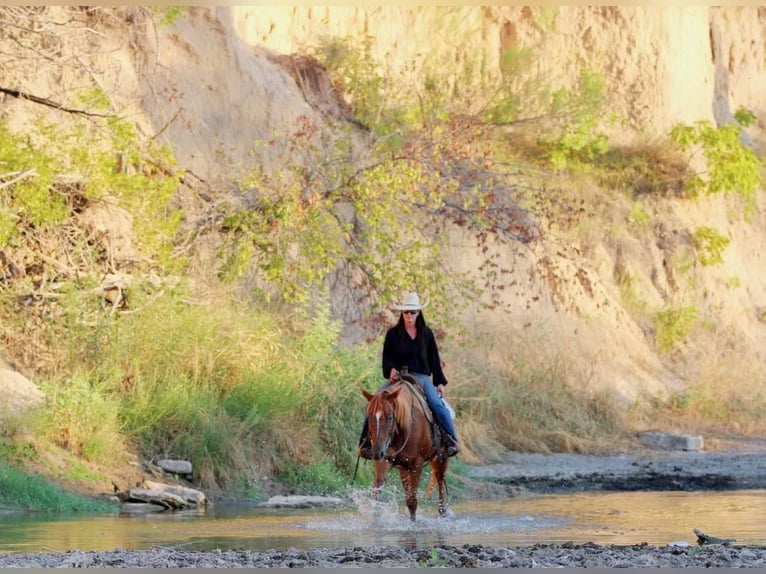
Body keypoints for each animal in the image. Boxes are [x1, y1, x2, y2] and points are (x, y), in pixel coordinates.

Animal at [360, 376, 450, 524]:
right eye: (369, 416)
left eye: (390, 417)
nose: (377, 452)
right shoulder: (384, 459)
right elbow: (377, 492)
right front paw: (375, 520)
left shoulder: (416, 464)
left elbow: (412, 500)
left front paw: (413, 523)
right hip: (403, 467)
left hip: (440, 459)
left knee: (440, 481)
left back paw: (442, 513)